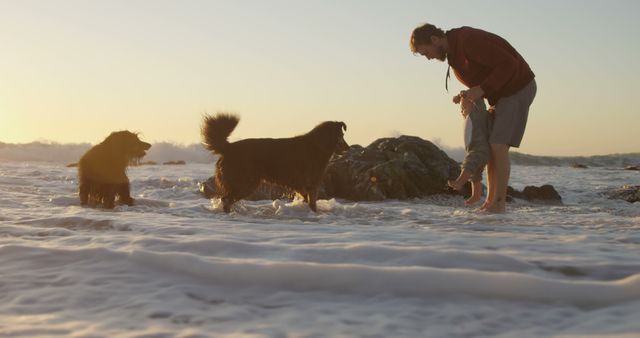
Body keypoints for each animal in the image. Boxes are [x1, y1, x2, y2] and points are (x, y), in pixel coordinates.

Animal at [201, 115, 348, 213]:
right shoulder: (312, 184)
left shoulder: (304, 187)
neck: (318, 145)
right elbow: (313, 204)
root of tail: (228, 147)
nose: (348, 148)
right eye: (341, 136)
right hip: (245, 183)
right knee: (226, 200)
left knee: (225, 199)